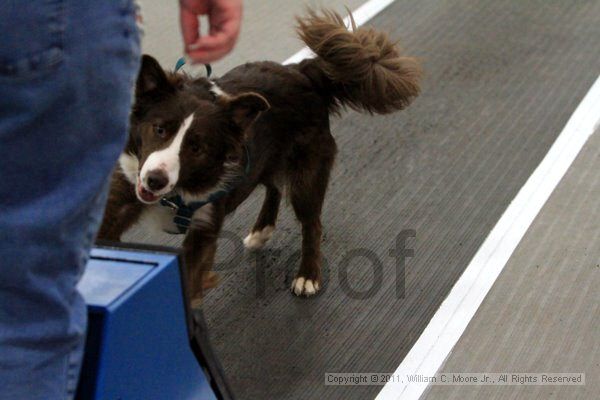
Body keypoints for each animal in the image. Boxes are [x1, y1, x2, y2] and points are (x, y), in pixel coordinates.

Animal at [97, 9, 422, 304]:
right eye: (160, 128)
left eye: (197, 147)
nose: (155, 180)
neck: (174, 195)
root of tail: (304, 72)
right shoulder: (123, 193)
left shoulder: (204, 229)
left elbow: (192, 278)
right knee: (273, 184)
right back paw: (262, 230)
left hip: (307, 172)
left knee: (311, 222)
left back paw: (308, 275)